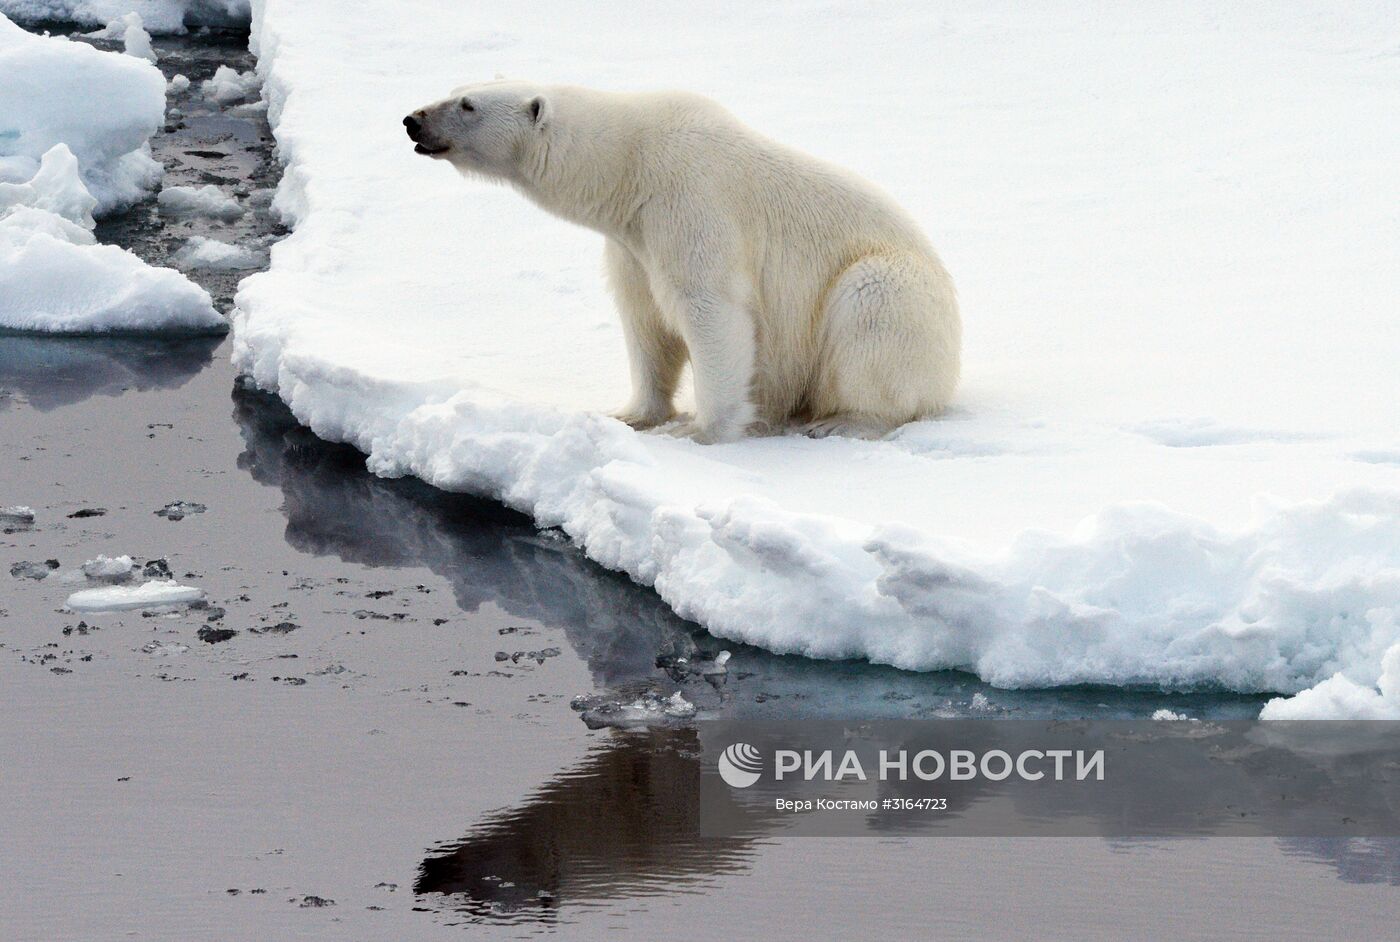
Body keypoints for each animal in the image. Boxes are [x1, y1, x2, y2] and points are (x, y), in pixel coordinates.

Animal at [400, 79, 957, 442]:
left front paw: (700, 431)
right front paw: (631, 415)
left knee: (872, 308)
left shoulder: (690, 204)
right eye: (457, 87)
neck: (629, 165)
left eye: (467, 104)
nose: (412, 120)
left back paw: (845, 419)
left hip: (895, 289)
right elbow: (644, 320)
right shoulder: (633, 243)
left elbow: (711, 311)